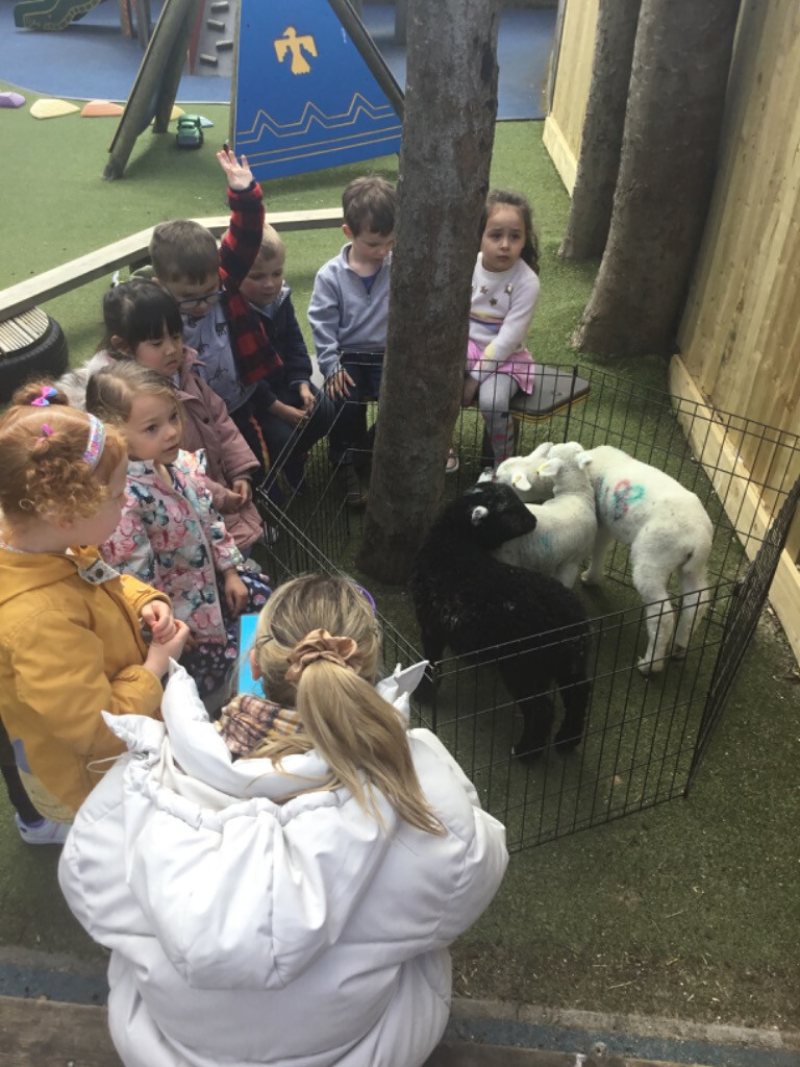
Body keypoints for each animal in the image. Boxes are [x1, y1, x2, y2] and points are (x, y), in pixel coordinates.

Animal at [413, 484, 588, 759]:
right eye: (509, 512)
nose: (534, 521)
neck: (451, 543)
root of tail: (571, 624)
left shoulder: (431, 627)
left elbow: (431, 665)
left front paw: (422, 694)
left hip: (523, 665)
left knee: (541, 709)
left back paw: (527, 752)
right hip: (567, 663)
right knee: (579, 695)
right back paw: (566, 740)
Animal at [580, 441, 716, 674]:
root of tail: (697, 537)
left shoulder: (600, 521)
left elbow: (598, 550)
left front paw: (590, 578)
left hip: (652, 558)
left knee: (663, 615)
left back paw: (650, 663)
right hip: (694, 567)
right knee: (696, 602)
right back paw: (679, 647)